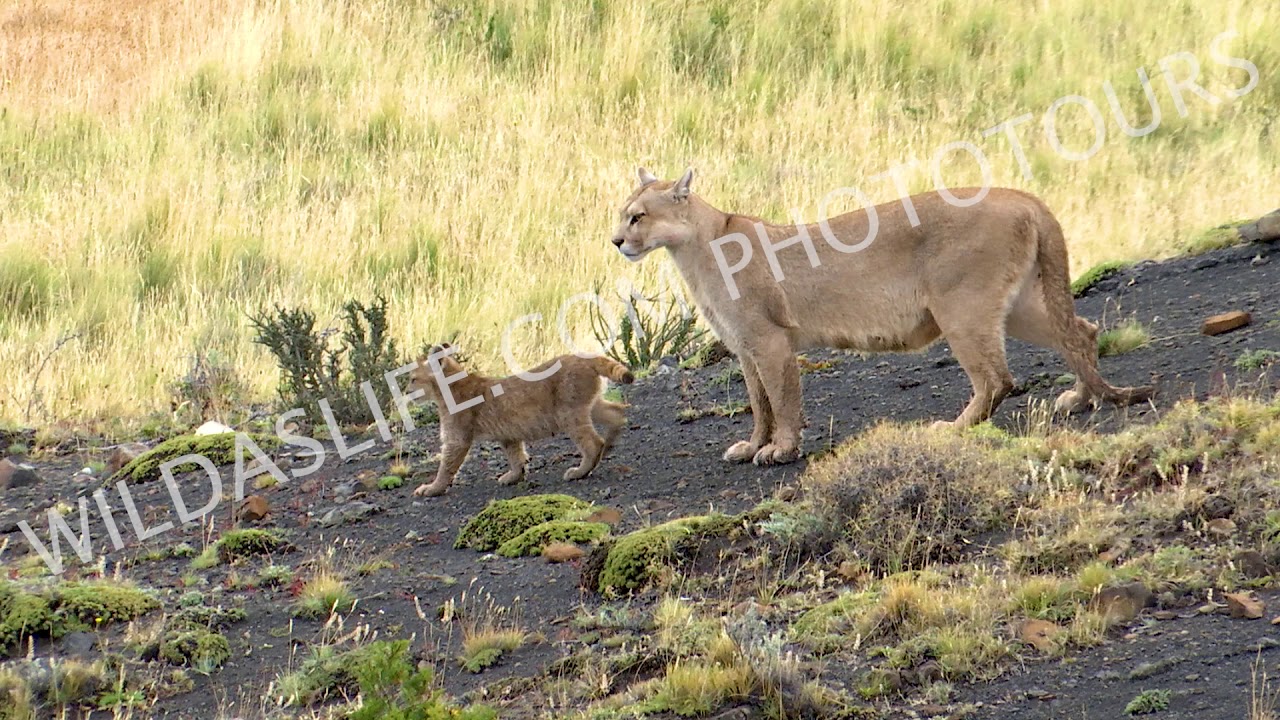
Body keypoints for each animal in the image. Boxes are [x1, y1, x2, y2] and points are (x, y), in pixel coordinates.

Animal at [407, 343, 634, 497]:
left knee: (593, 442)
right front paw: (515, 476)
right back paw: (610, 445)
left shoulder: (456, 439)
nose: (406, 391)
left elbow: (445, 467)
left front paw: (431, 488)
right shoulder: (508, 434)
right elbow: (515, 456)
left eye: (413, 379)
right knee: (616, 412)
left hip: (568, 414)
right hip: (590, 406)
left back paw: (579, 471)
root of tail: (584, 357)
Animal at [609, 167, 1153, 466]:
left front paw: (782, 450)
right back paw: (1081, 397)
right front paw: (752, 445)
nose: (616, 241)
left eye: (638, 216)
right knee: (1079, 331)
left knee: (997, 378)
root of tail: (1021, 195)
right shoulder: (745, 347)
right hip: (1014, 305)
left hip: (960, 307)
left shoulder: (769, 340)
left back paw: (953, 427)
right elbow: (759, 403)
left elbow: (782, 400)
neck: (696, 246)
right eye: (622, 214)